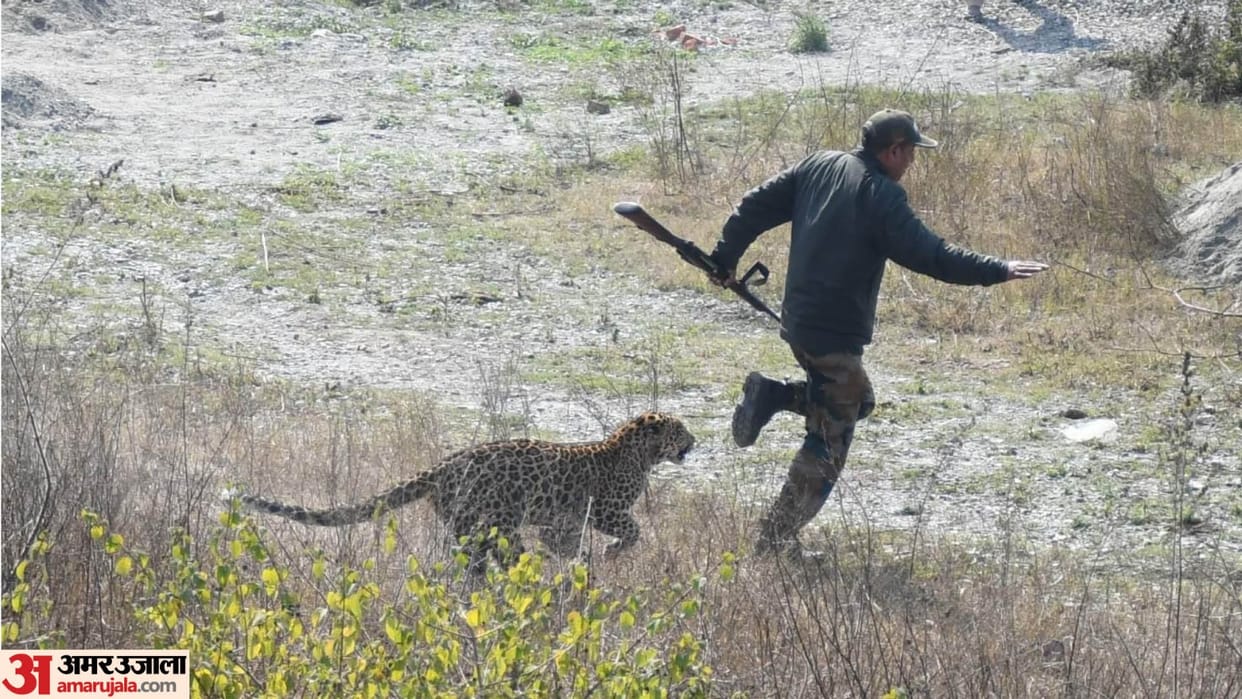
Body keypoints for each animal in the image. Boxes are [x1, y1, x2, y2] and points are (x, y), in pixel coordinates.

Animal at [232, 411, 695, 572]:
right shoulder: (608, 510)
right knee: (501, 554)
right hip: (499, 521)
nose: (696, 442)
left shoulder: (562, 522)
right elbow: (633, 531)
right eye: (681, 430)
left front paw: (582, 563)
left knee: (466, 556)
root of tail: (444, 466)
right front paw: (610, 553)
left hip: (465, 521)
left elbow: (566, 544)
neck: (640, 449)